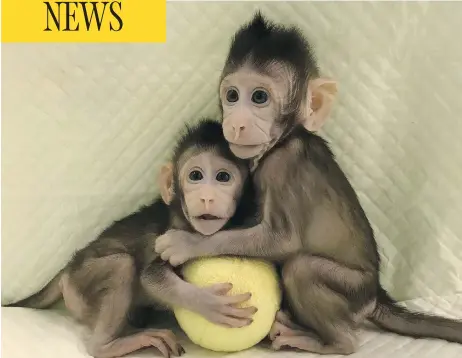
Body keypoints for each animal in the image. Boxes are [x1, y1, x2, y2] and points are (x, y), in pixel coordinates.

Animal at [7, 119, 258, 358]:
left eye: (223, 177)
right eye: (195, 176)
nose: (207, 197)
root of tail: (67, 268)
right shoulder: (170, 234)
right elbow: (151, 276)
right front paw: (209, 304)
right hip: (80, 281)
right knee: (122, 264)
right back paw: (108, 345)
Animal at [157, 11, 462, 356]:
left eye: (259, 97)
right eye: (232, 95)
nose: (236, 124)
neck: (286, 137)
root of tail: (376, 295)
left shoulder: (282, 165)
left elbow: (282, 239)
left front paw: (187, 243)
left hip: (352, 290)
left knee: (302, 269)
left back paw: (326, 340)